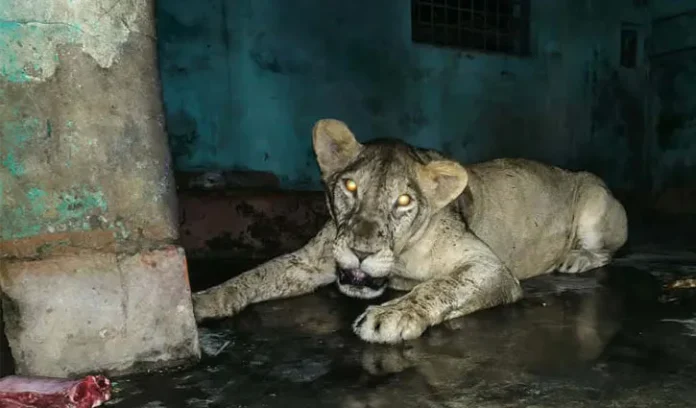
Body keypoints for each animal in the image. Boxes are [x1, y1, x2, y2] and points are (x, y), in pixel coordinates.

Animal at [192, 119, 628, 344]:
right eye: (350, 186)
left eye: (403, 200)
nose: (362, 253)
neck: (399, 258)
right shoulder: (310, 261)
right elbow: (255, 274)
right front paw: (202, 300)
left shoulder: (490, 267)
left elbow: (438, 287)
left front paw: (390, 315)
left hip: (593, 201)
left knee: (608, 251)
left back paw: (575, 259)